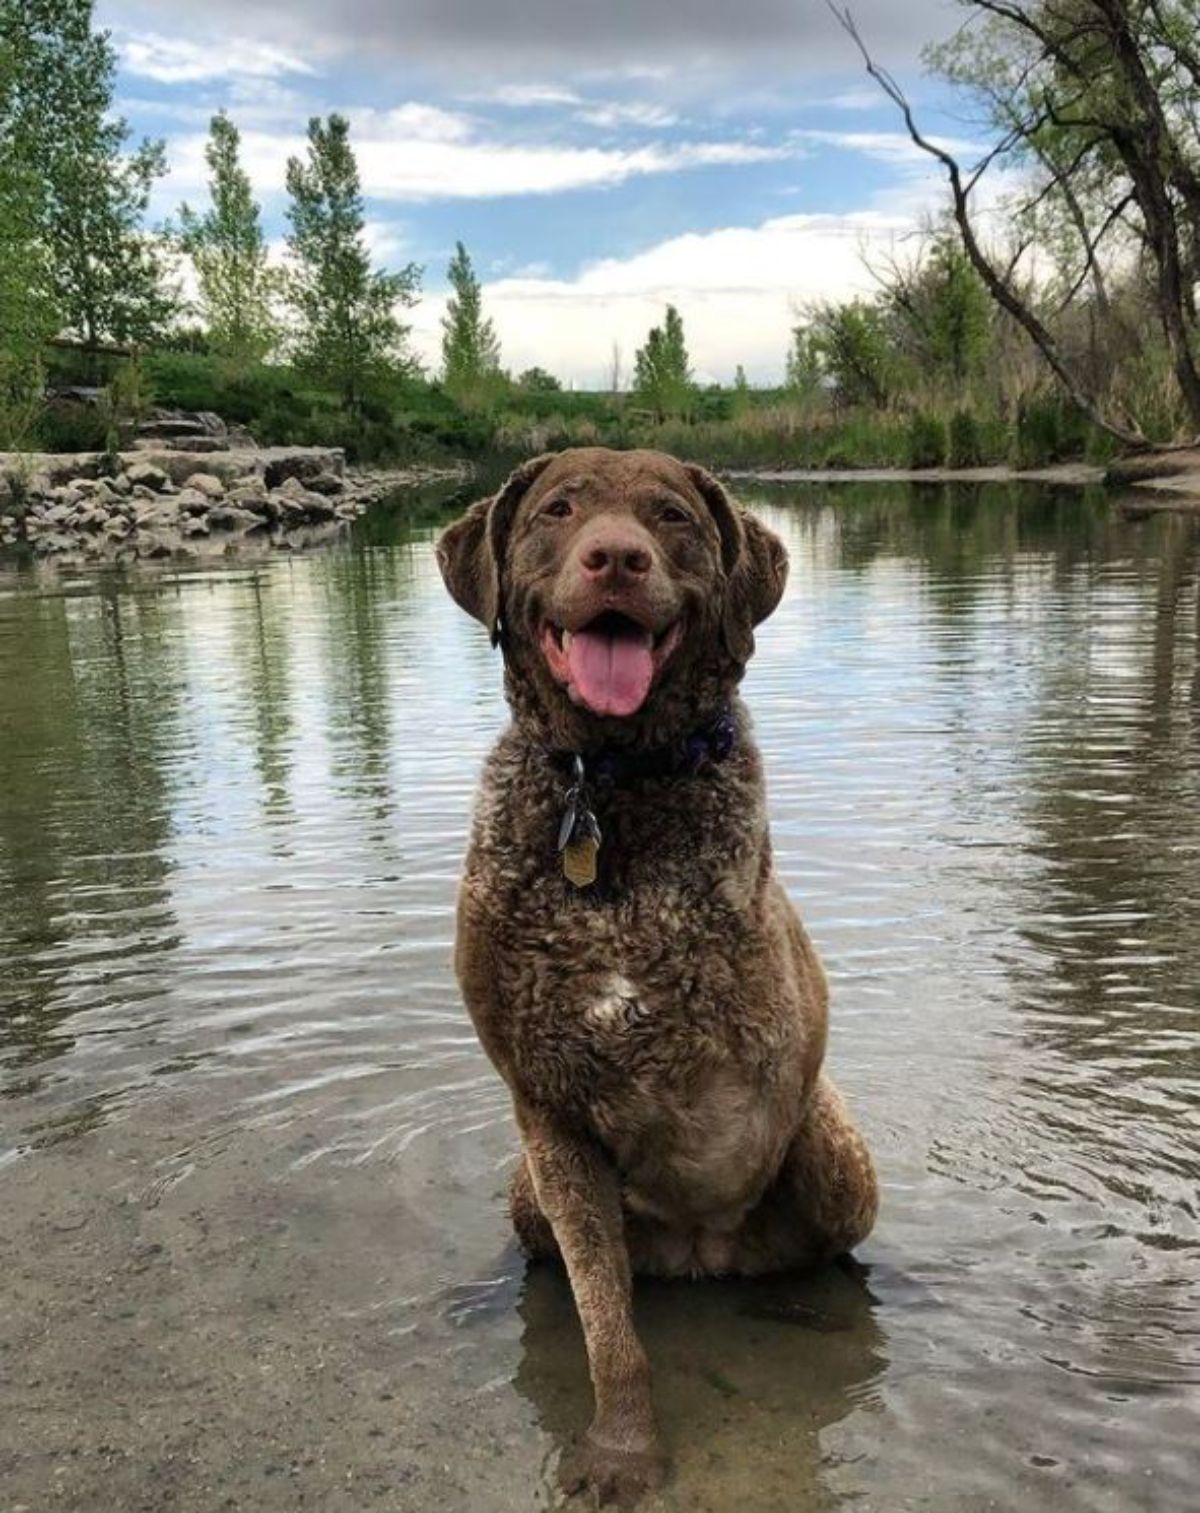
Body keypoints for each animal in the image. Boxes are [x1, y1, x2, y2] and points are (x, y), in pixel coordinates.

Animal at [435, 447, 877, 1500]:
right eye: (557, 510)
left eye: (671, 516)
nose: (616, 558)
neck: (604, 787)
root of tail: (701, 1258)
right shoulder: (548, 1117)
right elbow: (608, 1326)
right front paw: (624, 1450)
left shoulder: (756, 1046)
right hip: (527, 1192)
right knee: (554, 1262)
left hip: (838, 1160)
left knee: (823, 1248)